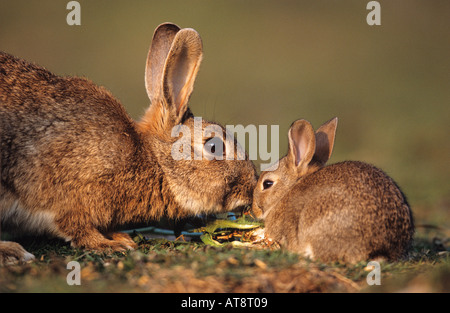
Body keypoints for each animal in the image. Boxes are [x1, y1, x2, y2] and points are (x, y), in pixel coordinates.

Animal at [0, 22, 256, 264]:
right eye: (214, 146)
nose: (252, 187)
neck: (153, 159)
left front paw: (119, 236)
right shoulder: (68, 192)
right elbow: (76, 226)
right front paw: (109, 244)